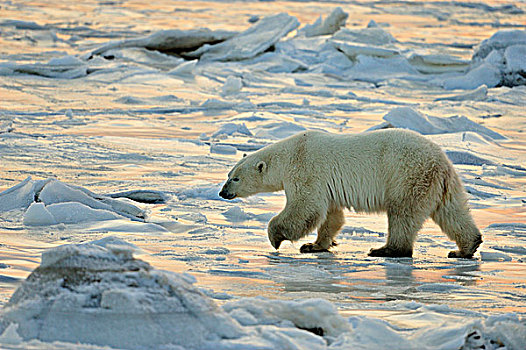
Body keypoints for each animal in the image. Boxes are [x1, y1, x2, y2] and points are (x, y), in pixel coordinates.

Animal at [219, 129, 482, 258]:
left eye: (235, 178)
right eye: (228, 174)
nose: (222, 192)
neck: (289, 154)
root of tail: (440, 160)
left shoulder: (306, 169)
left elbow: (305, 208)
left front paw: (276, 238)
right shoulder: (326, 185)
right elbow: (331, 215)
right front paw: (315, 245)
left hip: (407, 176)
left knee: (403, 214)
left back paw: (385, 250)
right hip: (440, 183)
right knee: (452, 212)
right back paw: (465, 248)